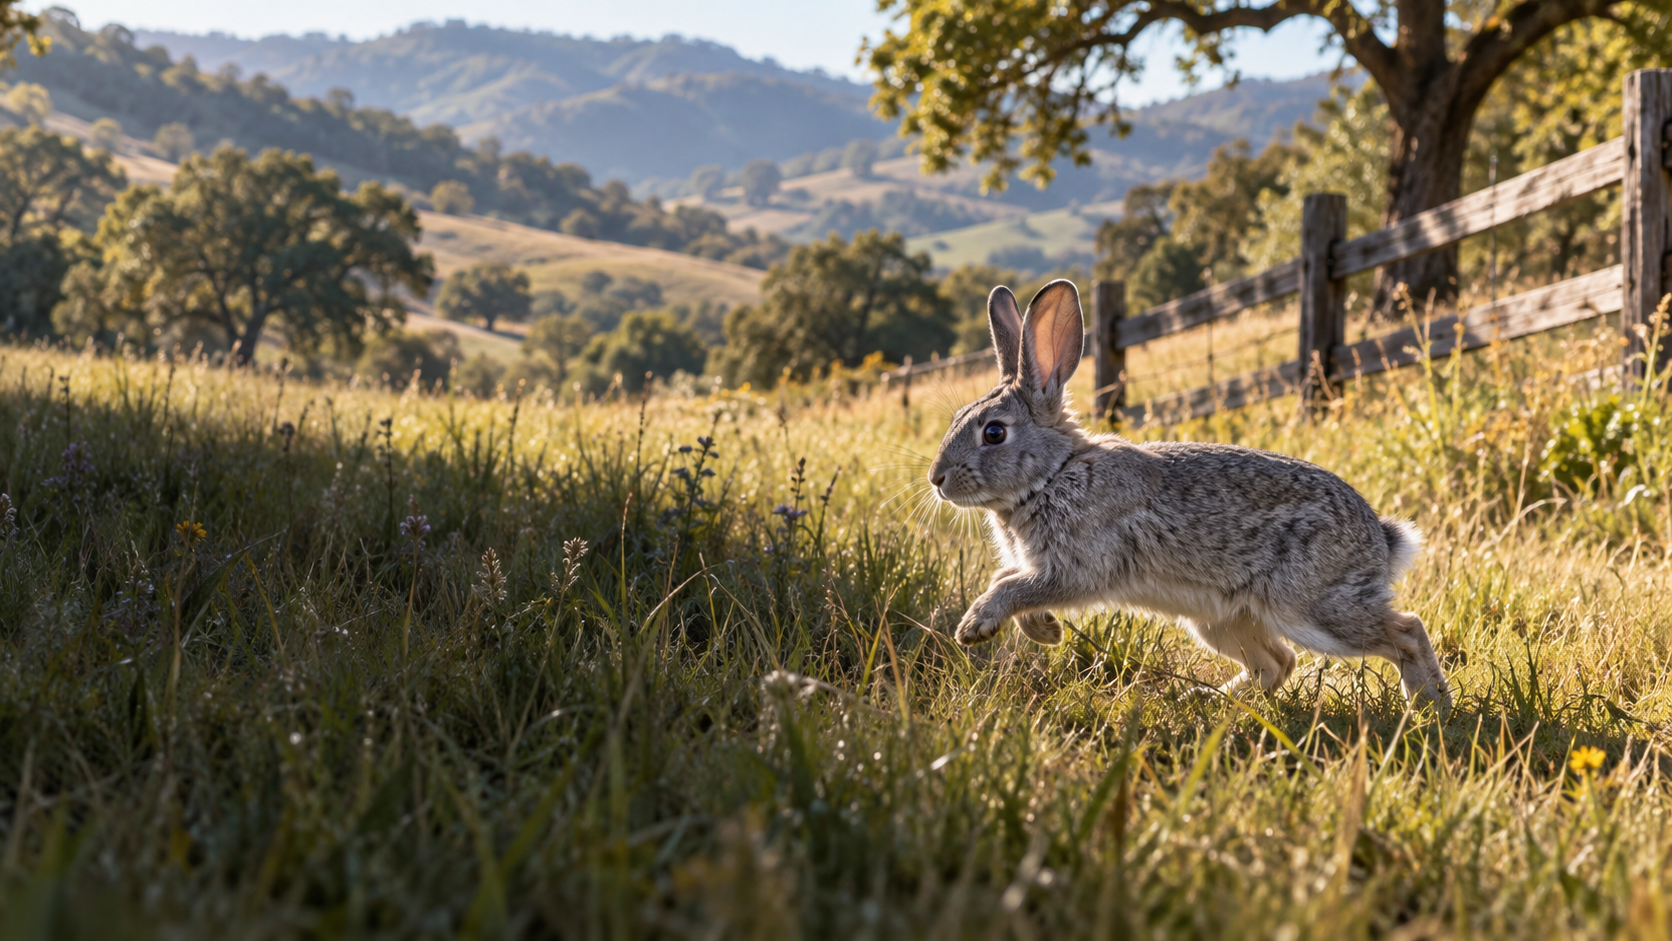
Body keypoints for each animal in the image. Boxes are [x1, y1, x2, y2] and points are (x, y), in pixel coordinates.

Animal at [926, 279, 1450, 712]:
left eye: (994, 433)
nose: (937, 479)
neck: (1054, 474)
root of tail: (1381, 540)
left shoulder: (1076, 568)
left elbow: (1013, 587)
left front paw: (974, 627)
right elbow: (1005, 578)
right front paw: (1044, 631)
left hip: (1309, 607)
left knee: (1406, 631)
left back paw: (1429, 710)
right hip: (1220, 620)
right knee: (1277, 663)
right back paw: (1208, 700)